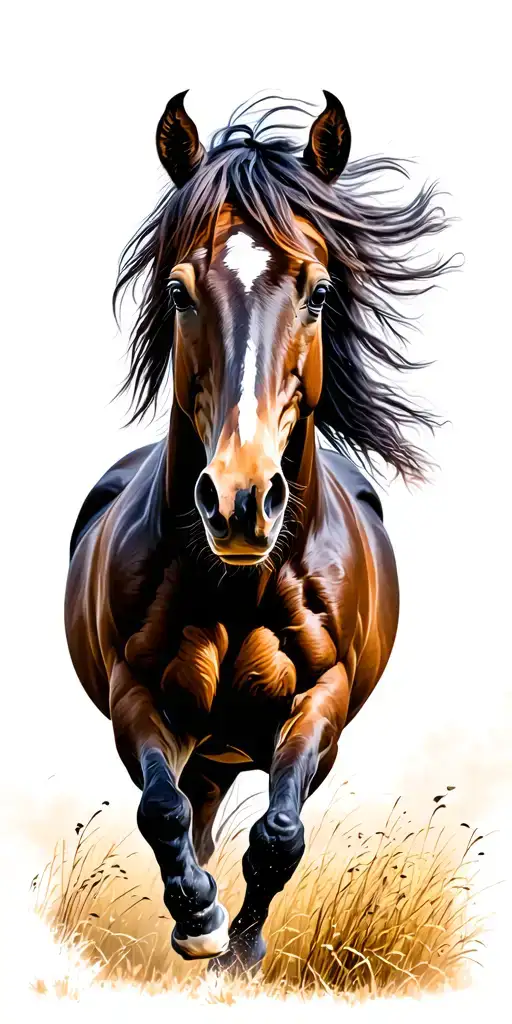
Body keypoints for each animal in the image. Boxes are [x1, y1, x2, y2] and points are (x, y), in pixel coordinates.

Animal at [64, 90, 450, 973]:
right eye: (179, 292)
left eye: (319, 290)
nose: (241, 501)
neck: (239, 587)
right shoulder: (136, 693)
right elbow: (162, 814)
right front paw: (199, 921)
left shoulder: (323, 700)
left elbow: (279, 834)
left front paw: (240, 952)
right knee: (194, 816)